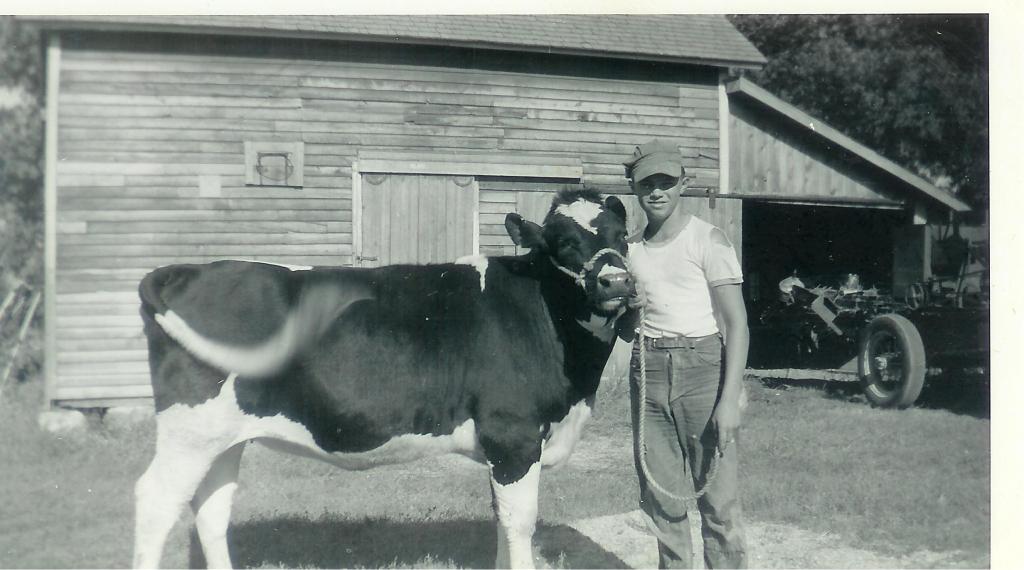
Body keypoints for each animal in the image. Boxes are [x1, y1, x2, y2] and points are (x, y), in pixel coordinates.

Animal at [132, 188, 635, 569]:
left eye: (623, 236)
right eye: (563, 242)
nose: (616, 282)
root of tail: (187, 270)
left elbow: (500, 520)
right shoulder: (513, 435)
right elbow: (519, 522)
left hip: (223, 437)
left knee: (211, 510)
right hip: (190, 430)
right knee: (156, 502)